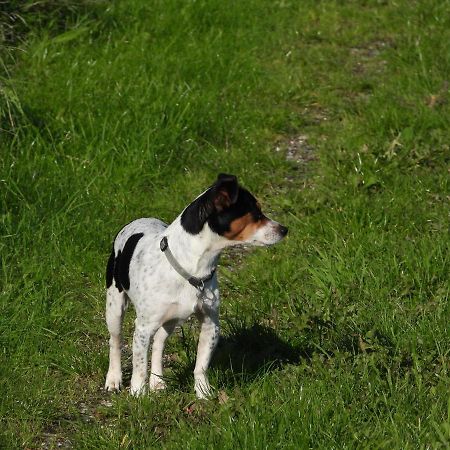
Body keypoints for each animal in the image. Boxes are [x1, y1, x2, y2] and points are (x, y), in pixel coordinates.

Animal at [104, 173, 288, 398]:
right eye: (255, 214)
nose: (284, 229)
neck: (193, 267)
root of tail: (137, 220)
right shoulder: (143, 328)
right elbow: (139, 367)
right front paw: (138, 394)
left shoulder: (211, 323)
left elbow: (201, 365)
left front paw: (203, 393)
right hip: (115, 306)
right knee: (115, 341)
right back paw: (114, 379)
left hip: (172, 319)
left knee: (159, 343)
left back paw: (158, 382)